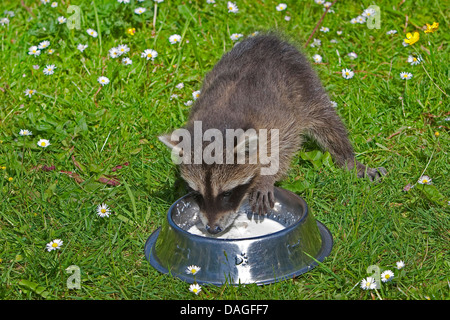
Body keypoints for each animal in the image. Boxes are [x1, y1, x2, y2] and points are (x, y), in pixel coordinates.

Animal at [159, 33, 386, 235]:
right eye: (197, 193)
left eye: (227, 193)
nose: (213, 229)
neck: (220, 122)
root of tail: (267, 38)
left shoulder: (278, 120)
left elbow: (286, 145)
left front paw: (266, 176)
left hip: (305, 87)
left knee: (327, 122)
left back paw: (347, 158)